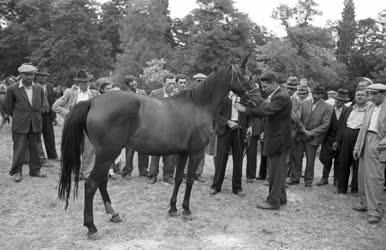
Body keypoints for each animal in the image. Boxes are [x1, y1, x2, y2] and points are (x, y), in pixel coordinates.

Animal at [58, 59, 253, 239]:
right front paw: (186, 210)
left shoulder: (183, 153)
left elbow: (178, 179)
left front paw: (173, 208)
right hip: (107, 154)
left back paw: (114, 214)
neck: (199, 105)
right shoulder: (195, 152)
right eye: (247, 77)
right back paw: (91, 227)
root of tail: (93, 101)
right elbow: (189, 180)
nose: (254, 100)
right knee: (91, 184)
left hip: (106, 156)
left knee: (102, 182)